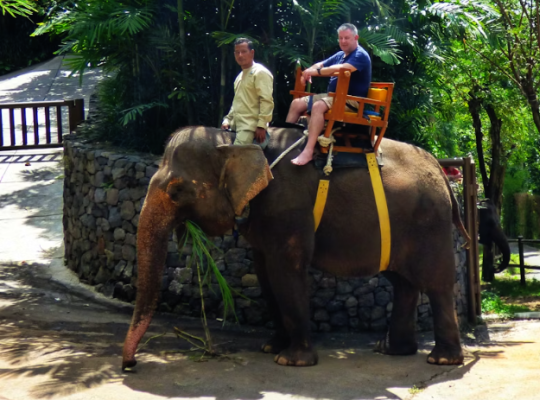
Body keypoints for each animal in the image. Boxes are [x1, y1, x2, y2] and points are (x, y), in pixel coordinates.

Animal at [122, 125, 471, 371]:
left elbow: (286, 272)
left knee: (437, 283)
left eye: (176, 191)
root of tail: (441, 170)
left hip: (430, 223)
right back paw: (392, 350)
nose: (131, 364)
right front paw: (271, 348)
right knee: (403, 282)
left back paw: (442, 360)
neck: (236, 142)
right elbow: (265, 275)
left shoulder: (288, 210)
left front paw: (291, 361)